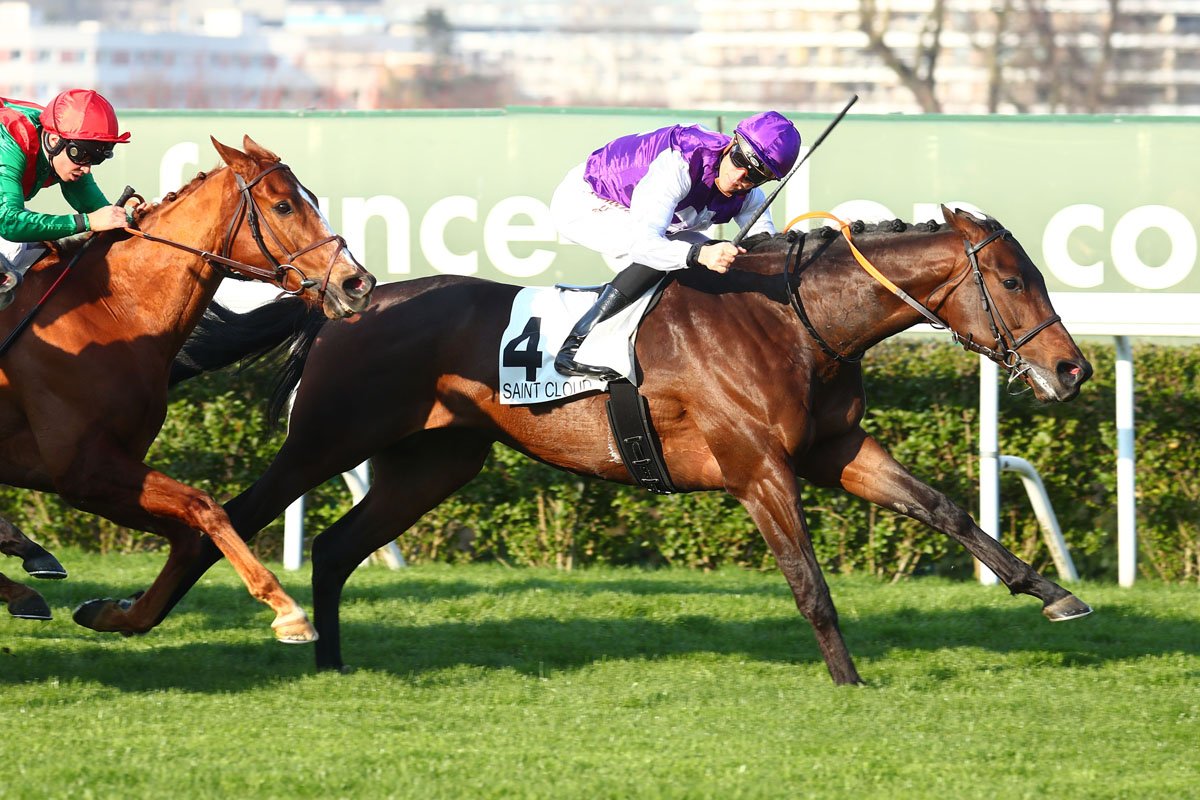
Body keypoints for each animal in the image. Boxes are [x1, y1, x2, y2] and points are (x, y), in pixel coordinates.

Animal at [0, 135, 375, 642]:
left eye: (312, 198)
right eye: (283, 205)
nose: (357, 283)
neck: (112, 312)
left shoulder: (107, 473)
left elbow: (186, 538)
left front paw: (114, 613)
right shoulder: (83, 470)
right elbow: (205, 506)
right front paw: (288, 611)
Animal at [96, 205, 1093, 684]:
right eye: (1013, 279)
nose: (1073, 368)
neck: (793, 320)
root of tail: (342, 301)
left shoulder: (832, 450)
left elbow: (944, 508)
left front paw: (1054, 594)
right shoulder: (759, 469)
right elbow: (808, 581)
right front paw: (849, 682)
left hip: (436, 461)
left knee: (339, 546)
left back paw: (334, 662)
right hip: (326, 441)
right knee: (227, 515)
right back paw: (133, 617)